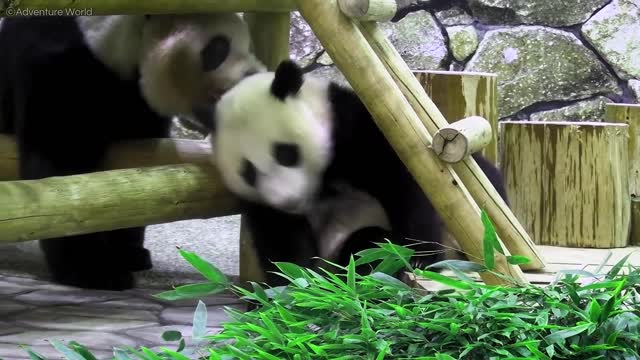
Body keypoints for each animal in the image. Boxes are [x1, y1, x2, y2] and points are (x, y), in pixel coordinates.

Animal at [0, 14, 264, 292]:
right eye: (218, 49)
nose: (251, 77)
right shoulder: (59, 67)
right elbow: (63, 171)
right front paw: (95, 271)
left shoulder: (138, 104)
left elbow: (135, 180)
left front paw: (127, 252)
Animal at [208, 60, 508, 286]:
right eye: (248, 172)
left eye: (285, 153)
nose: (289, 201)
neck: (322, 184)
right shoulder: (263, 204)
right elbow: (282, 238)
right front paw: (298, 281)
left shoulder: (355, 131)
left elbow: (407, 182)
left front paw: (421, 257)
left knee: (370, 245)